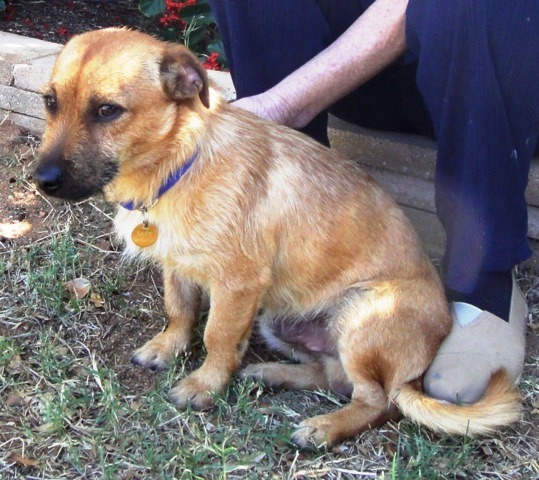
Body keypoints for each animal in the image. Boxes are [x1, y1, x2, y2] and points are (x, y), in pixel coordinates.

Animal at [34, 28, 521, 448]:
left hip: (360, 315)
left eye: (107, 110)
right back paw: (275, 374)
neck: (180, 162)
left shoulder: (238, 286)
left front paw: (204, 384)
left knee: (377, 402)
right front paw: (166, 347)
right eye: (50, 102)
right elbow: (180, 310)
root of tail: (414, 374)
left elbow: (216, 335)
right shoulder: (178, 265)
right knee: (335, 378)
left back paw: (324, 427)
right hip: (280, 321)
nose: (42, 181)